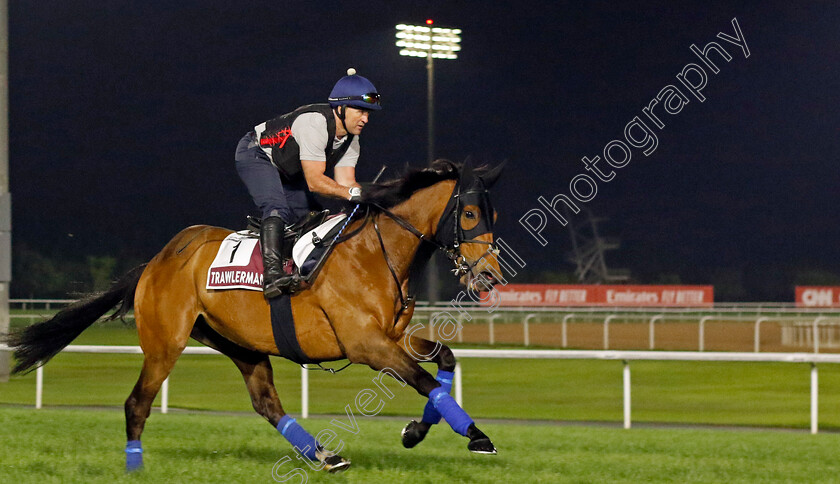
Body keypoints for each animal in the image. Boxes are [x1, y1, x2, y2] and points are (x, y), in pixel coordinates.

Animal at [6, 158, 502, 472]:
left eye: (492, 213)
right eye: (469, 213)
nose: (490, 275)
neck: (372, 254)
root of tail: (157, 261)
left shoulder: (393, 337)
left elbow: (444, 362)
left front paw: (415, 431)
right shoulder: (366, 344)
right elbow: (424, 381)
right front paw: (476, 435)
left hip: (238, 343)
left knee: (266, 403)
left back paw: (324, 456)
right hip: (165, 342)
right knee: (137, 402)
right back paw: (135, 466)